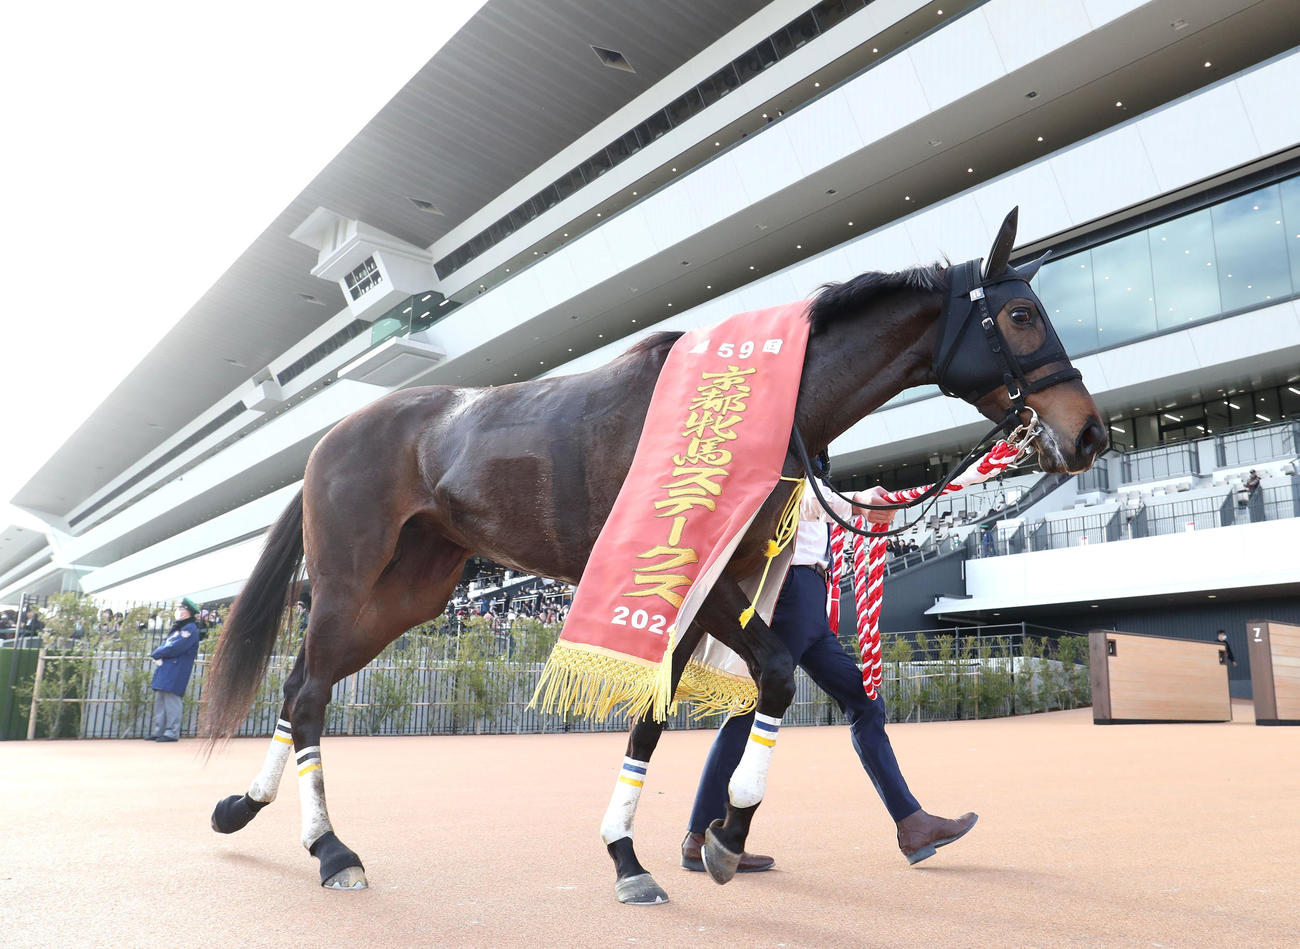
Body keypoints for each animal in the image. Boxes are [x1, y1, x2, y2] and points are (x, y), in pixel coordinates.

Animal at [201, 208, 1107, 902]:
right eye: (1022, 316)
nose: (1090, 432)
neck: (755, 409)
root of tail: (328, 438)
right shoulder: (700, 586)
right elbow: (775, 676)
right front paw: (727, 831)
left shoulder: (703, 588)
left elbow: (656, 716)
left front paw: (634, 853)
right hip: (350, 580)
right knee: (308, 692)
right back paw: (332, 850)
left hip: (407, 596)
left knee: (303, 682)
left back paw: (246, 807)